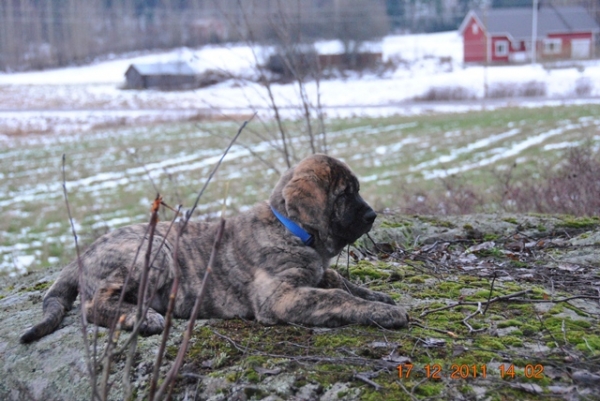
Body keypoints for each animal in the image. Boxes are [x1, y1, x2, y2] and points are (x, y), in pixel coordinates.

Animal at [22, 155, 408, 342]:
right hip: (155, 251)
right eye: (345, 194)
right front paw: (384, 312)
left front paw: (376, 296)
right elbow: (336, 296)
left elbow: (338, 281)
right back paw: (141, 317)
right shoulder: (279, 296)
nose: (372, 215)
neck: (291, 228)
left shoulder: (311, 275)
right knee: (92, 306)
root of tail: (84, 254)